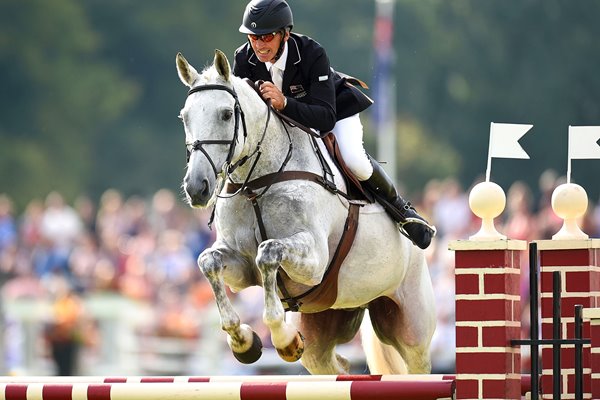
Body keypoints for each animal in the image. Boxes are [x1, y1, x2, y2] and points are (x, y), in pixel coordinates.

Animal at [175, 50, 436, 376]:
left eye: (226, 114)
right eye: (185, 117)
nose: (196, 188)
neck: (257, 182)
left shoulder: (314, 261)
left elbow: (268, 253)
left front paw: (284, 339)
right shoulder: (240, 266)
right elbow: (208, 261)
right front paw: (244, 342)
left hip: (412, 328)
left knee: (415, 360)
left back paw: (417, 227)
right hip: (322, 327)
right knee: (332, 365)